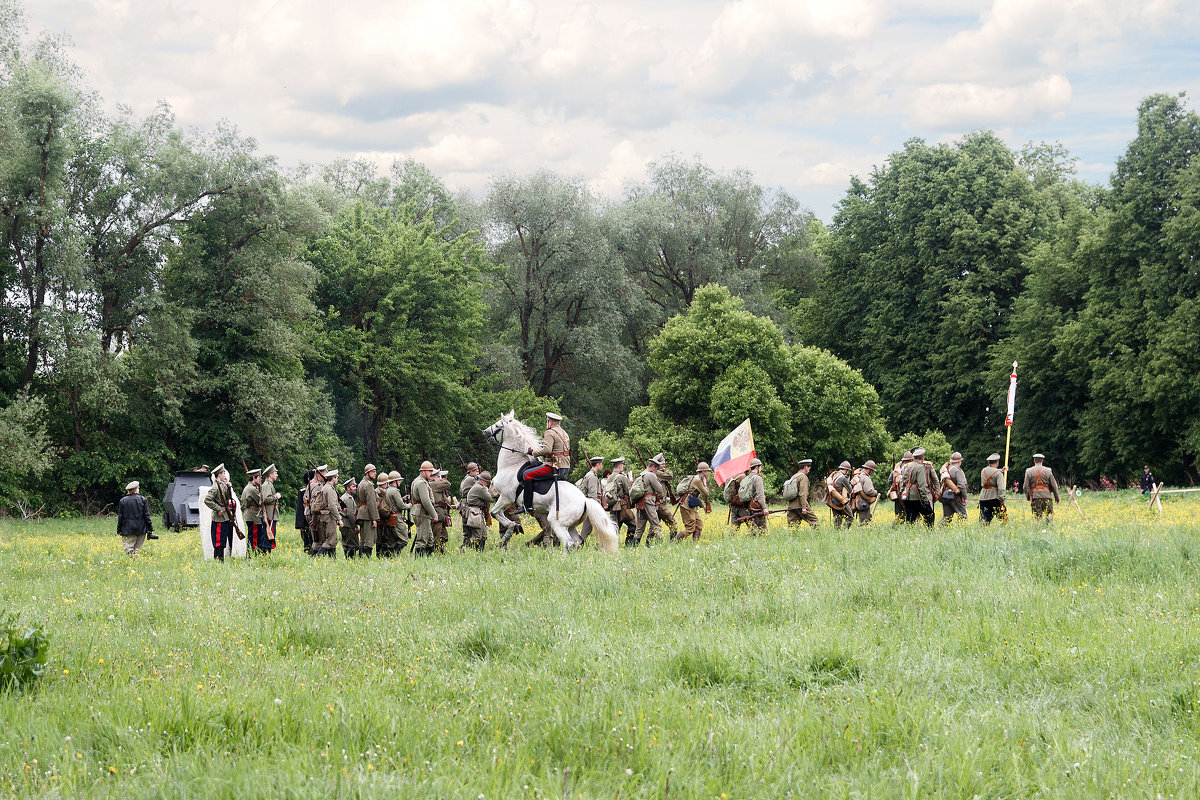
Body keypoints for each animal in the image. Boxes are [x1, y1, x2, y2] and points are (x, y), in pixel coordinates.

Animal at [482, 410, 619, 554]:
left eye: (498, 425)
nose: (485, 431)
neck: (512, 465)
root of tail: (585, 500)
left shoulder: (506, 498)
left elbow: (495, 513)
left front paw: (513, 525)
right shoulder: (505, 499)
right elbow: (498, 513)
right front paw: (514, 527)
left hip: (556, 522)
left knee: (568, 542)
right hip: (571, 526)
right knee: (577, 541)